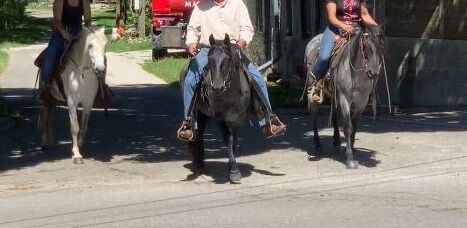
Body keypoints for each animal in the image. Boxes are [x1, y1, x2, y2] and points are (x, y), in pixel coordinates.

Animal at [180, 34, 254, 183]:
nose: (217, 87)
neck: (231, 94)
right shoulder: (221, 118)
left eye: (227, 59)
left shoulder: (237, 119)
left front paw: (232, 168)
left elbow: (233, 141)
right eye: (210, 59)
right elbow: (227, 139)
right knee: (197, 132)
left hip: (204, 114)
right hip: (197, 112)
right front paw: (234, 170)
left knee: (201, 132)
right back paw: (198, 161)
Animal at [306, 25, 386, 169]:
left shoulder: (361, 102)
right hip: (315, 91)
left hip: (335, 95)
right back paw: (317, 143)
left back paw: (337, 141)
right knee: (314, 114)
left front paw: (352, 149)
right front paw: (350, 159)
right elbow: (348, 127)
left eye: (381, 45)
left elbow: (354, 127)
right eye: (365, 46)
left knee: (334, 115)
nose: (374, 73)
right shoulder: (344, 98)